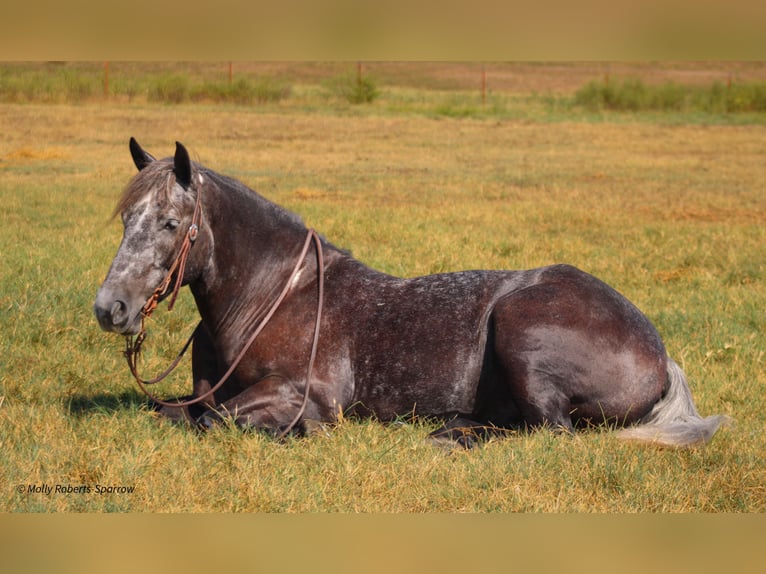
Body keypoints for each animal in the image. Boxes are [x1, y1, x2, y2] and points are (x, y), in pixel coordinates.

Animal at [94, 140, 732, 450]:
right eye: (126, 218)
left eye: (171, 223)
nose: (110, 308)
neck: (271, 297)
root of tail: (660, 355)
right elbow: (179, 412)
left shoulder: (305, 394)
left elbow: (217, 421)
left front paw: (296, 434)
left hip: (522, 328)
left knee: (550, 432)